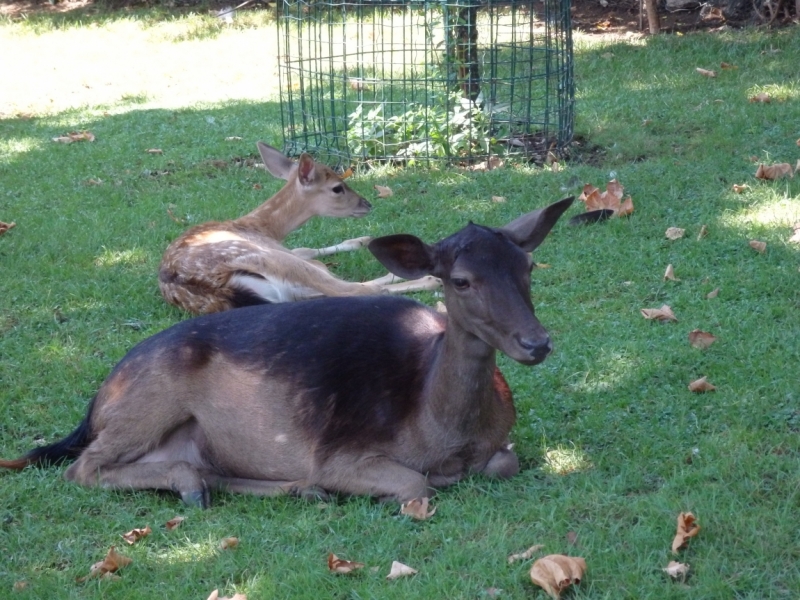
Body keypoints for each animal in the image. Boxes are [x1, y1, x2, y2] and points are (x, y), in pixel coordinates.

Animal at [0, 197, 576, 506]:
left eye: (527, 266)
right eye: (459, 280)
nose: (537, 341)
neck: (445, 432)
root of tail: (95, 403)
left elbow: (506, 462)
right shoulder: (341, 451)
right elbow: (418, 484)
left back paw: (280, 488)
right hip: (147, 398)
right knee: (82, 467)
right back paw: (199, 485)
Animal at [159, 141, 440, 314]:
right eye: (337, 188)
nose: (367, 204)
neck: (263, 227)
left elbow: (305, 248)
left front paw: (360, 239)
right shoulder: (278, 250)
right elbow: (310, 254)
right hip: (274, 261)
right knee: (357, 289)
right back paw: (428, 279)